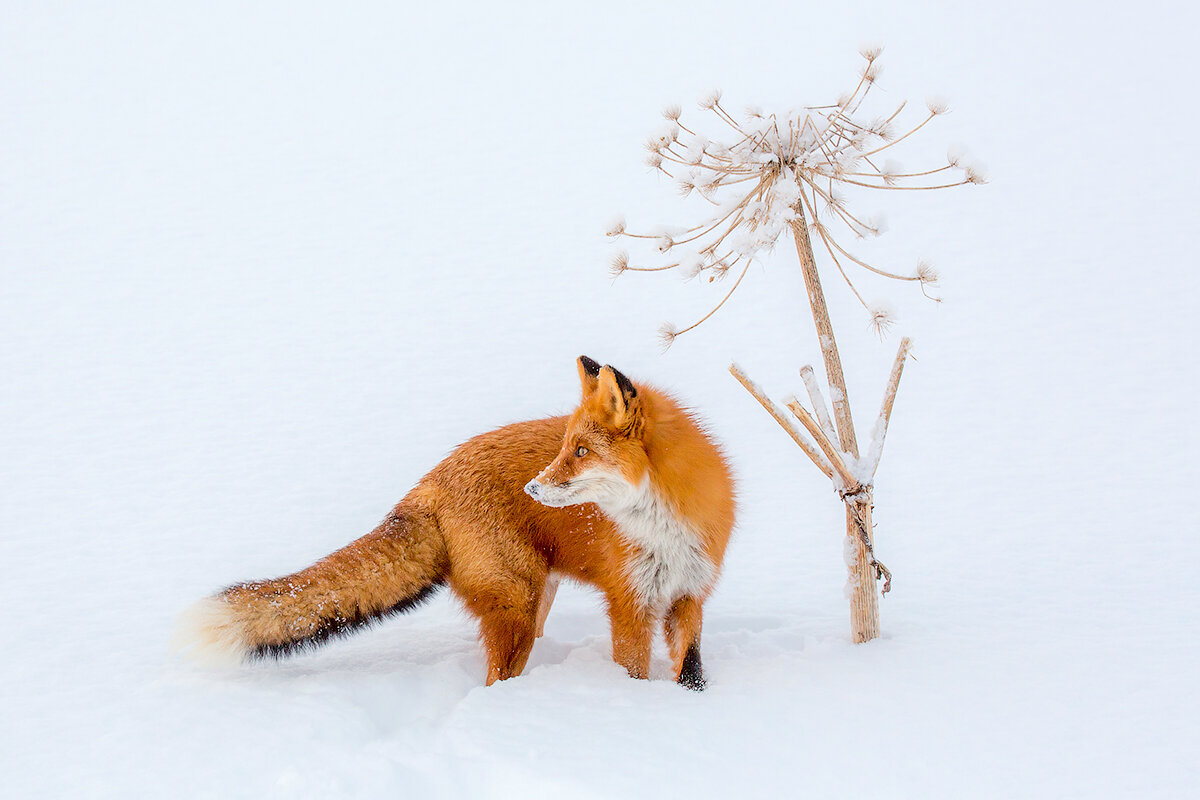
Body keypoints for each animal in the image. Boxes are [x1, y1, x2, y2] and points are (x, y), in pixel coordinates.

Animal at [174, 357, 734, 690]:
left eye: (581, 451)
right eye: (565, 447)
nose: (532, 489)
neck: (664, 527)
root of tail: (431, 479)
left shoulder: (689, 595)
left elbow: (690, 668)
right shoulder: (630, 604)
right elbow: (634, 672)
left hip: (533, 601)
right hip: (518, 607)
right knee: (494, 680)